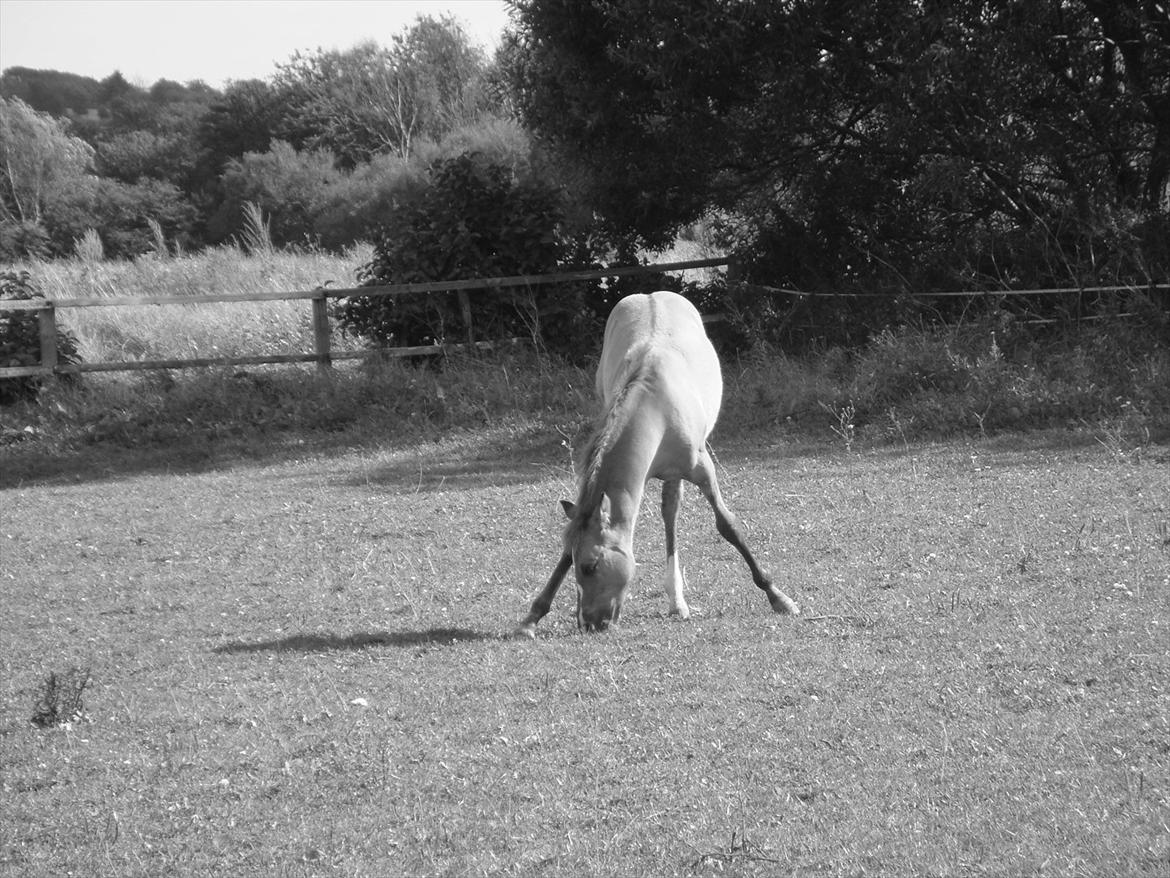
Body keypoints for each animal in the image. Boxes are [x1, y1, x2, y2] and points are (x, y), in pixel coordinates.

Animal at [517, 290, 800, 641]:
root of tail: (650, 294)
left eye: (590, 566)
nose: (589, 623)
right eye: (573, 561)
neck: (655, 401)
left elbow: (728, 526)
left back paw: (677, 601)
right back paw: (676, 600)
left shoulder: (702, 469)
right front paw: (532, 617)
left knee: (671, 513)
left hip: (678, 472)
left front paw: (778, 597)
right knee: (670, 513)